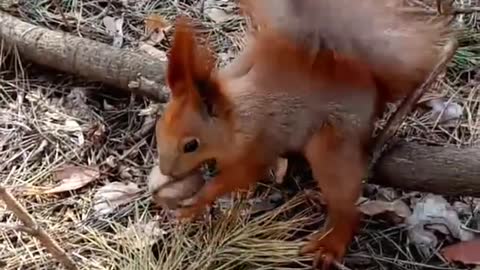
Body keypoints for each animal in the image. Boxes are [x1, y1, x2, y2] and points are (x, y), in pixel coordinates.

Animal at [154, 0, 450, 268]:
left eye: (191, 145)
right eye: (158, 128)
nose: (166, 172)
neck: (237, 117)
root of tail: (372, 88)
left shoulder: (260, 146)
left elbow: (238, 176)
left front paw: (197, 201)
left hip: (331, 145)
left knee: (349, 209)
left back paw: (329, 247)